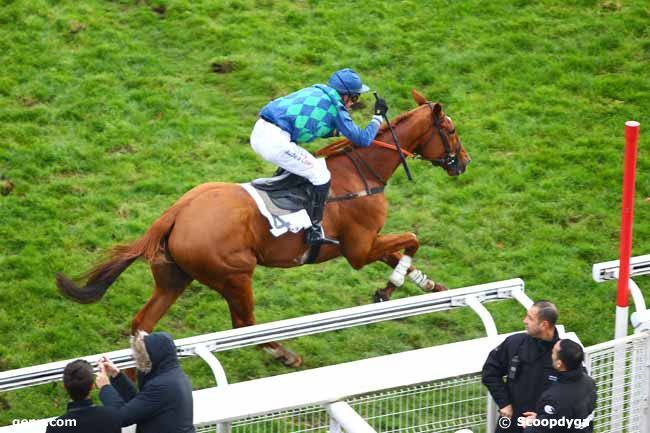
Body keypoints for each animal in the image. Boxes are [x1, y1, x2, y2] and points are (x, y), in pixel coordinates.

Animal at [57, 89, 470, 366]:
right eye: (451, 130)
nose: (463, 162)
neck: (362, 172)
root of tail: (174, 214)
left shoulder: (367, 242)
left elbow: (402, 251)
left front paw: (428, 287)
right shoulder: (358, 248)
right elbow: (411, 240)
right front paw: (391, 287)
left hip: (174, 277)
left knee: (141, 324)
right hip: (235, 274)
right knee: (244, 324)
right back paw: (282, 352)